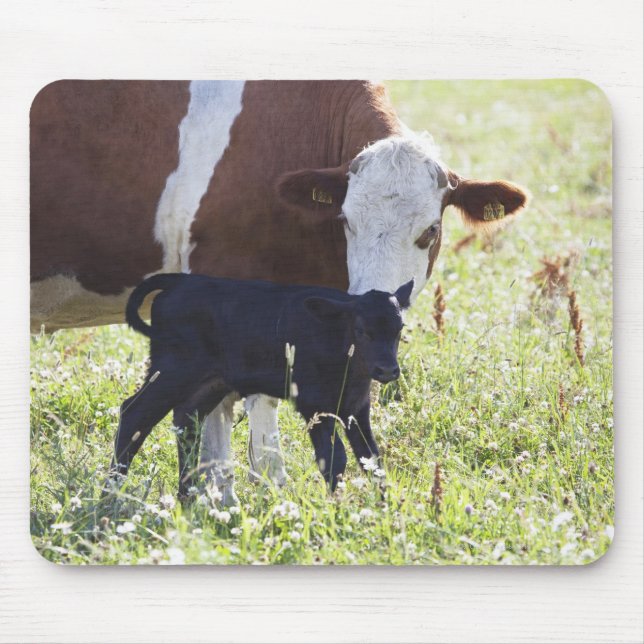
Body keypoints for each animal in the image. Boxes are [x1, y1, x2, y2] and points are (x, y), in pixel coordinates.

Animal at [111, 272, 413, 495]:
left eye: (399, 329)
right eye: (361, 330)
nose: (387, 370)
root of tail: (180, 281)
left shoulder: (356, 409)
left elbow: (371, 458)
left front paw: (384, 506)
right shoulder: (314, 405)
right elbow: (334, 459)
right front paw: (336, 509)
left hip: (210, 383)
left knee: (186, 421)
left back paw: (187, 496)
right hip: (172, 371)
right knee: (134, 414)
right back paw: (112, 492)